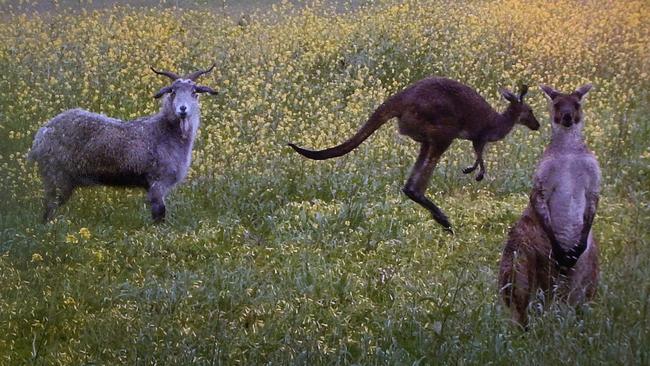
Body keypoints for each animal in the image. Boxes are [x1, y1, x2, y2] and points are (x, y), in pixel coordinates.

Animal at [27, 64, 218, 222]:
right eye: (172, 92)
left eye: (194, 92)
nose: (182, 109)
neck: (165, 132)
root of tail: (41, 135)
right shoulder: (157, 182)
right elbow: (159, 216)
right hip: (56, 175)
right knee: (49, 207)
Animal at [288, 77, 536, 232]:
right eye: (531, 111)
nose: (538, 125)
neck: (500, 121)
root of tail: (402, 97)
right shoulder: (480, 135)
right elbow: (479, 154)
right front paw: (475, 171)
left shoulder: (479, 138)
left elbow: (479, 153)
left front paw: (474, 169)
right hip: (441, 128)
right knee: (416, 184)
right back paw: (445, 221)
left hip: (426, 136)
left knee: (410, 186)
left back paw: (440, 218)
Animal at [498, 84, 600, 328]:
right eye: (556, 104)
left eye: (577, 104)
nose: (567, 117)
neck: (569, 151)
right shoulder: (542, 179)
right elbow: (538, 197)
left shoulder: (593, 177)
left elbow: (593, 200)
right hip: (526, 258)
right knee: (531, 303)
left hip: (589, 267)